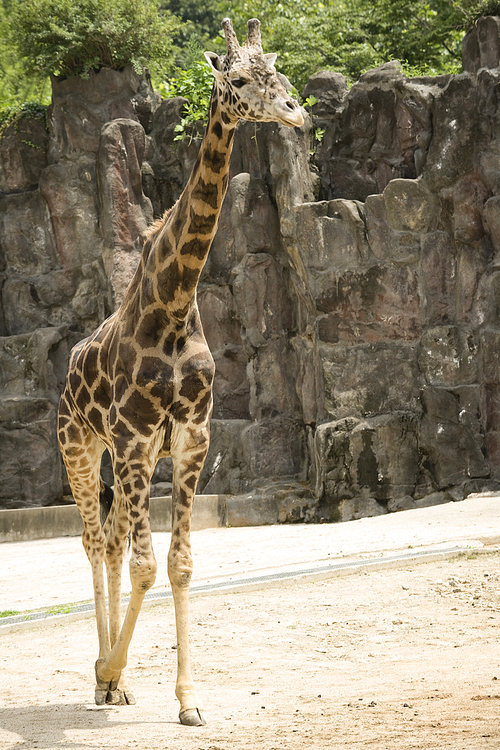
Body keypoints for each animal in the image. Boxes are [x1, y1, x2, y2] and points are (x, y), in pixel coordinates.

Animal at [56, 17, 302, 728]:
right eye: (238, 79)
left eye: (278, 67)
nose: (296, 112)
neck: (171, 303)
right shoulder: (138, 438)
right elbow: (144, 565)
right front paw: (110, 672)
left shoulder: (192, 436)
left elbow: (181, 564)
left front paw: (187, 700)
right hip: (82, 449)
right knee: (95, 542)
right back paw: (103, 675)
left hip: (118, 459)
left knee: (111, 541)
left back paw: (118, 684)